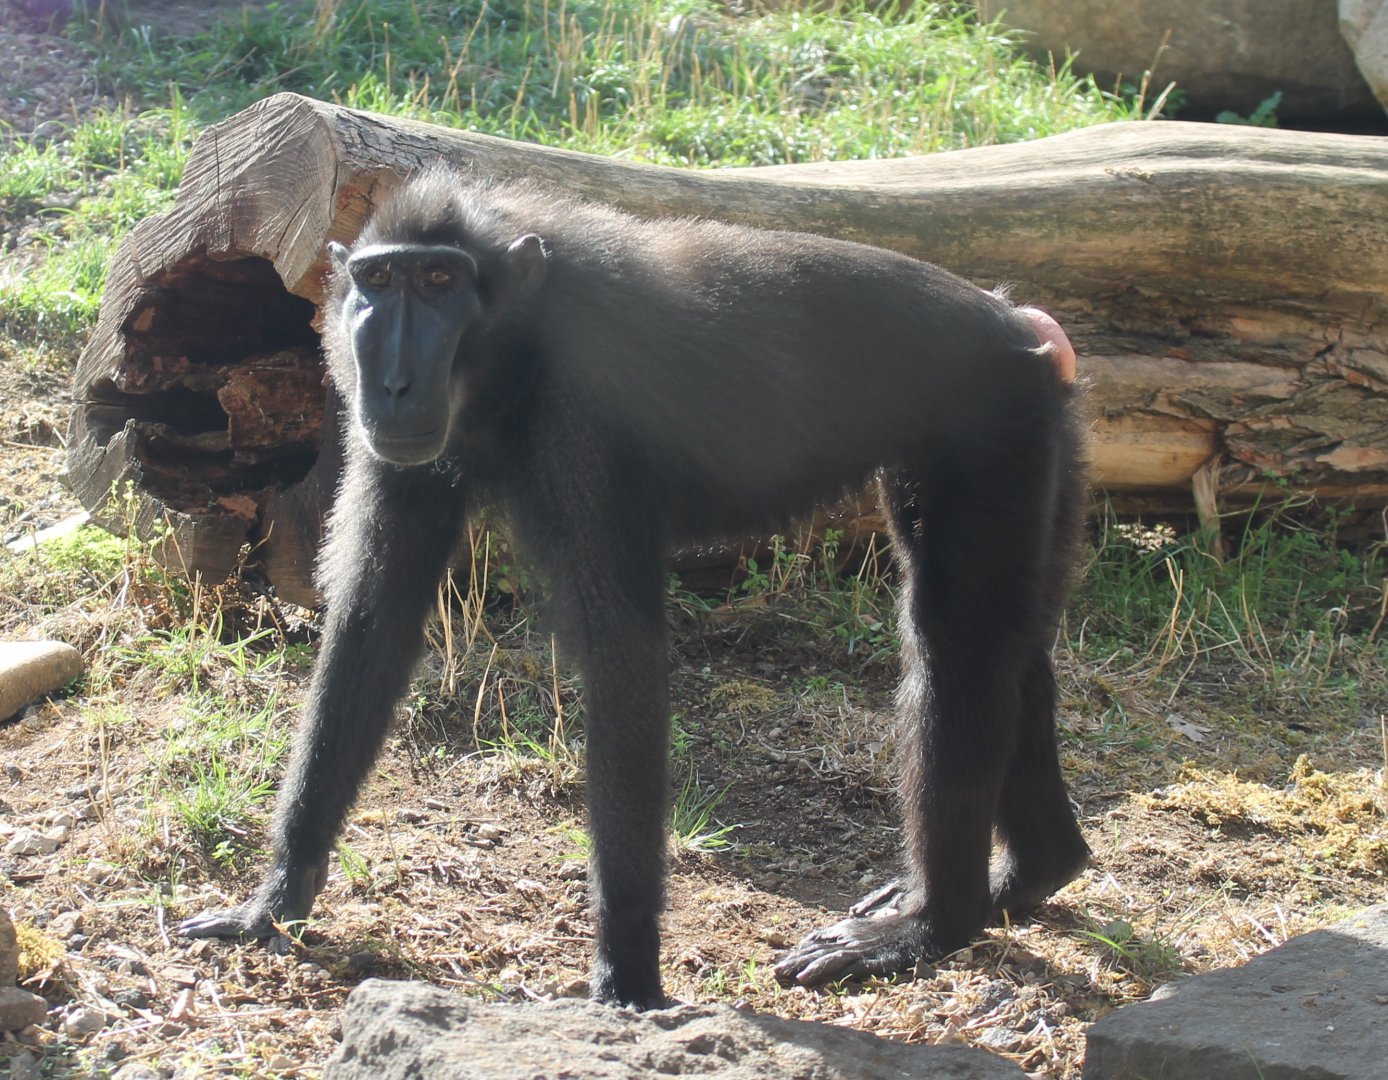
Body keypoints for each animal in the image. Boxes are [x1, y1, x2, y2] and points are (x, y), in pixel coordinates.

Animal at [179, 169, 1091, 1009]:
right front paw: (277, 900)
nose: (394, 379)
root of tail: (1017, 322)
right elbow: (373, 619)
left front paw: (627, 980)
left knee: (957, 646)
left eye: (438, 282)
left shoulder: (582, 417)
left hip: (1000, 426)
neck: (515, 340)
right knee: (1012, 650)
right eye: (377, 282)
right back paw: (1035, 872)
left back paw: (937, 924)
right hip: (1043, 435)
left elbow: (623, 657)